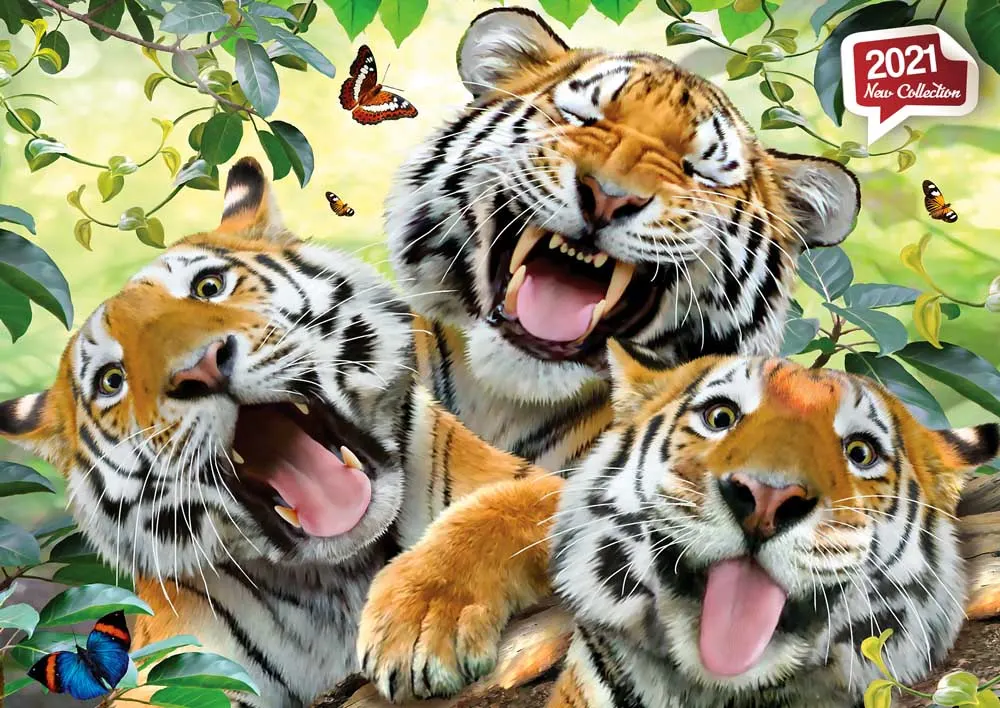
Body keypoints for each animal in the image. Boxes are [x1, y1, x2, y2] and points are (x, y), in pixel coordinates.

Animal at [0, 157, 545, 708]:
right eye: (112, 381)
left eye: (208, 286)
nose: (200, 368)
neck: (344, 574)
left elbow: (508, 509)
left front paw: (421, 620)